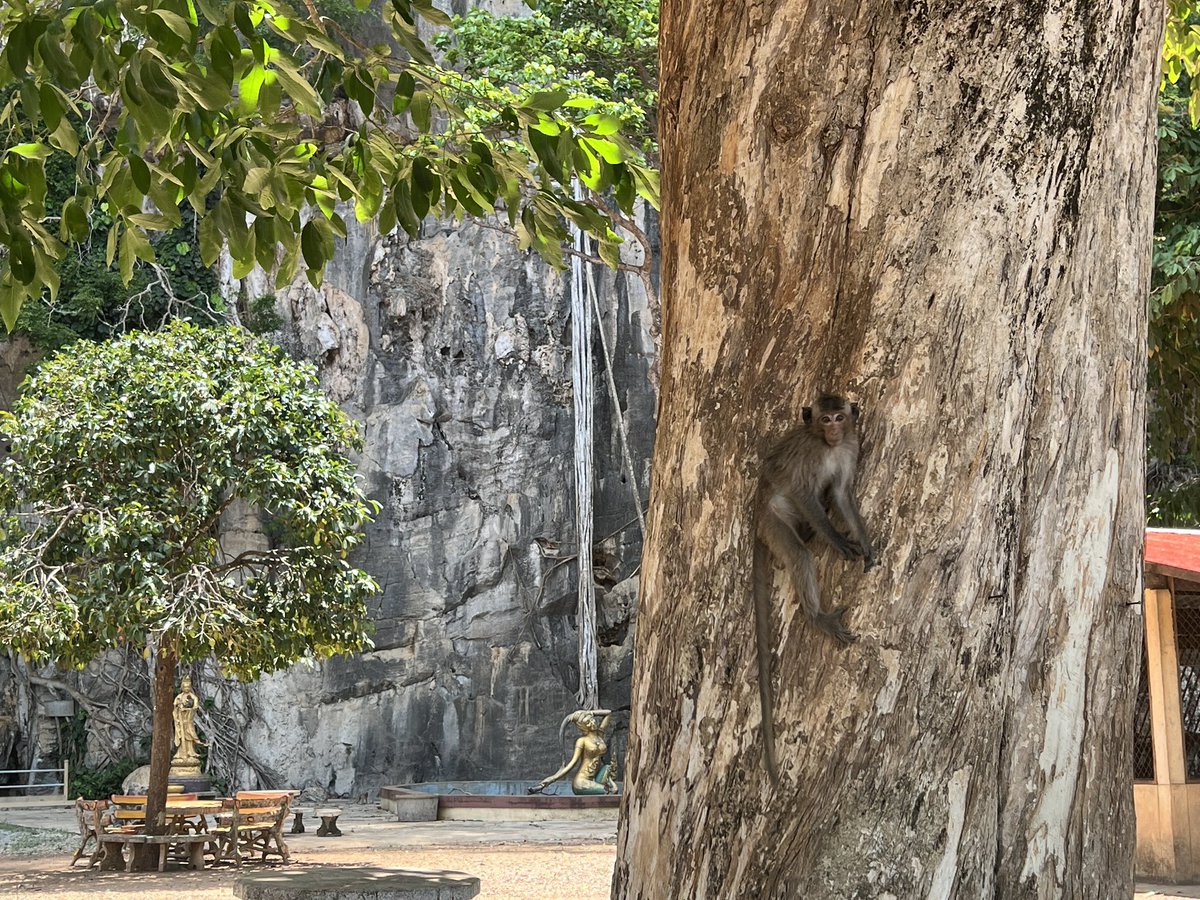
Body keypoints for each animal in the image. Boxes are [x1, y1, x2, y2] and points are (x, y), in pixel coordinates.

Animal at [753, 393, 875, 783]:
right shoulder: (811, 456)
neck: (829, 447)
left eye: (839, 417)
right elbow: (804, 492)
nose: (833, 429)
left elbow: (841, 494)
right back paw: (817, 616)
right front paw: (837, 541)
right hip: (774, 518)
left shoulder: (850, 447)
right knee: (799, 553)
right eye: (824, 419)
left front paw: (865, 543)